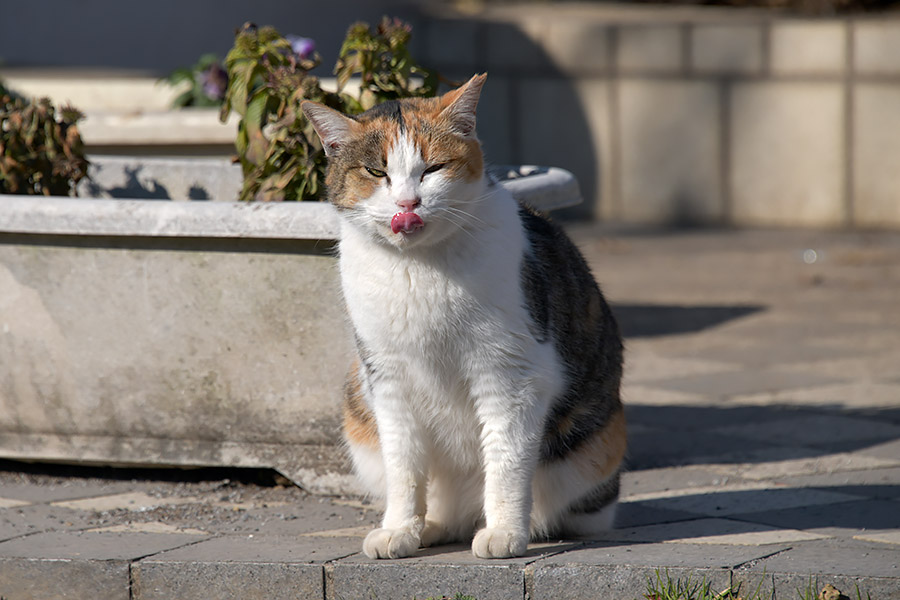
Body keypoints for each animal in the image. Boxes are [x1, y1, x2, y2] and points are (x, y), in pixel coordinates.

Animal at [302, 74, 624, 556]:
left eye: (432, 169)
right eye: (377, 172)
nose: (407, 203)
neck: (418, 269)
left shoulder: (510, 373)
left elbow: (506, 458)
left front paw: (505, 533)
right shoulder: (388, 378)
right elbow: (403, 465)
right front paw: (400, 529)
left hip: (594, 451)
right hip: (358, 407)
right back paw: (428, 526)